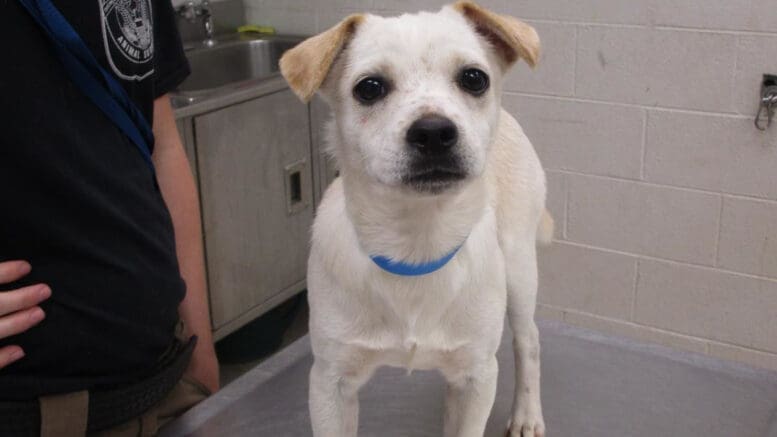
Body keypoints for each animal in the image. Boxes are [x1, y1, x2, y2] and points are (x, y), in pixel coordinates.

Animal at [278, 1, 552, 434]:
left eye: (474, 79)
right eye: (369, 88)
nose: (435, 131)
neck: (417, 244)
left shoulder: (478, 378)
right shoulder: (329, 384)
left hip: (520, 269)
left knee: (529, 341)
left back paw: (526, 414)